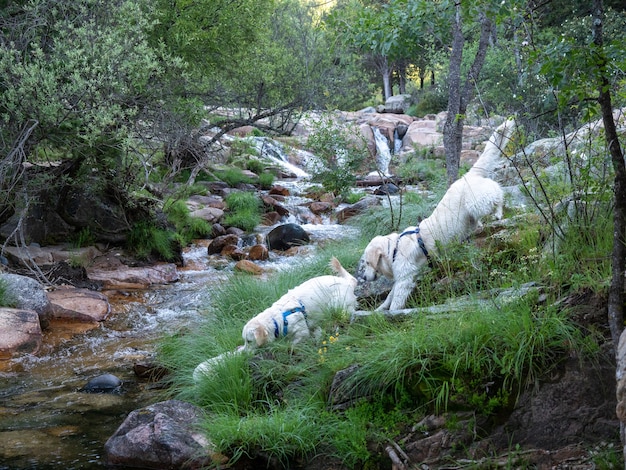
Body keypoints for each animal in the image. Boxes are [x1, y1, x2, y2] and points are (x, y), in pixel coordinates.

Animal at [358, 119, 516, 310]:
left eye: (367, 262)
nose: (363, 278)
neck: (394, 248)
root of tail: (466, 175)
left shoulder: (405, 277)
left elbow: (396, 298)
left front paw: (392, 313)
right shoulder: (403, 275)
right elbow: (390, 295)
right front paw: (381, 309)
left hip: (476, 202)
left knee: (497, 193)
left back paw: (498, 213)